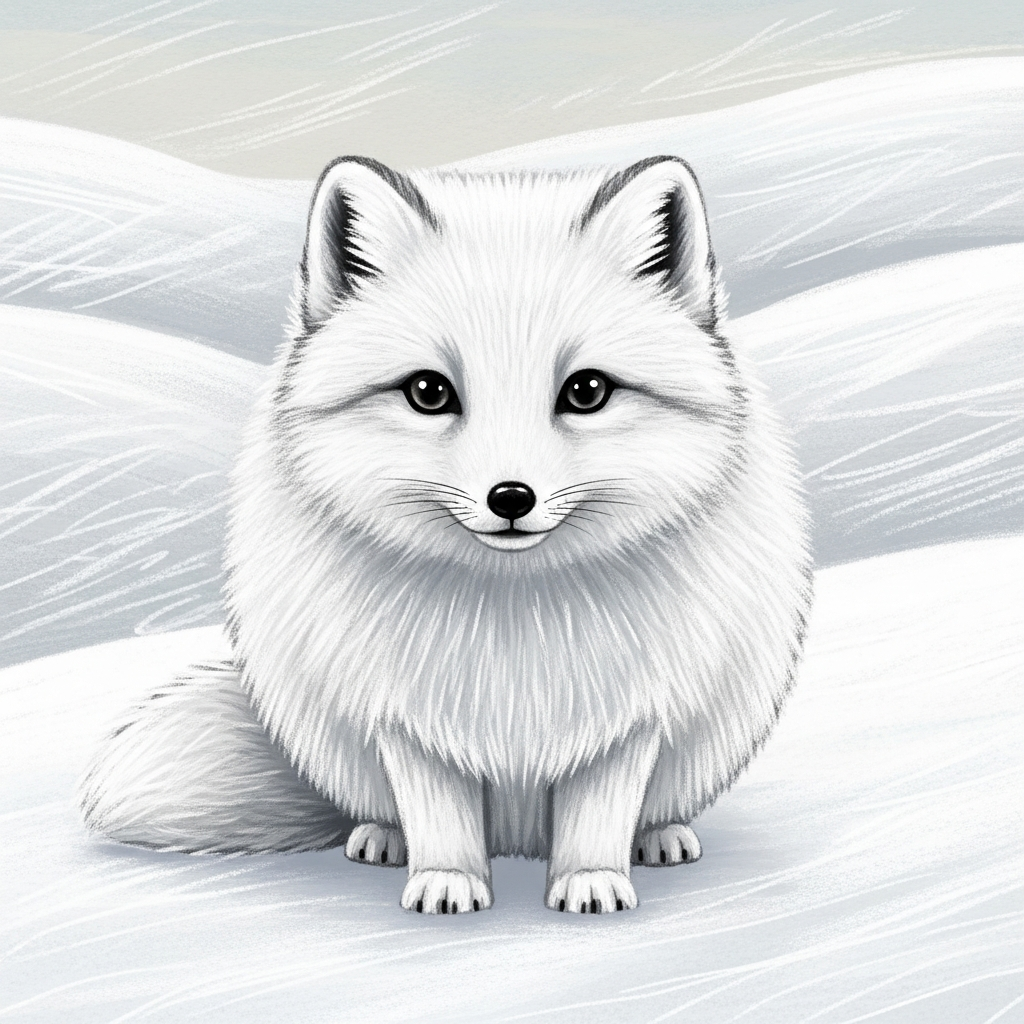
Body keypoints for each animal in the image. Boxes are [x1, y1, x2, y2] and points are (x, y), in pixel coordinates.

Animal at [79, 154, 812, 915]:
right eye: (429, 392)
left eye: (586, 391)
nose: (511, 497)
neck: (517, 625)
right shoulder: (405, 720)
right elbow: (438, 811)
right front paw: (446, 881)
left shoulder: (629, 720)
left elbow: (598, 811)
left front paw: (590, 879)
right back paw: (383, 839)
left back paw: (659, 837)